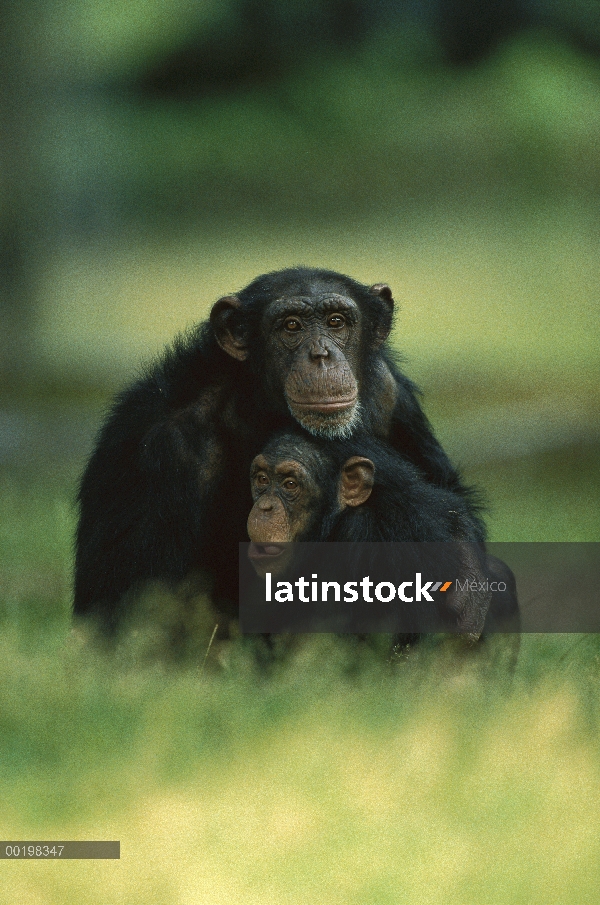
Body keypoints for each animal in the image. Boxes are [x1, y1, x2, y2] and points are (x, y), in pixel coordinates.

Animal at [75, 264, 486, 632]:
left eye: (337, 322)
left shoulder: (391, 393)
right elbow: (137, 609)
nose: (321, 355)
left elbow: (442, 497)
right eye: (291, 325)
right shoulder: (158, 448)